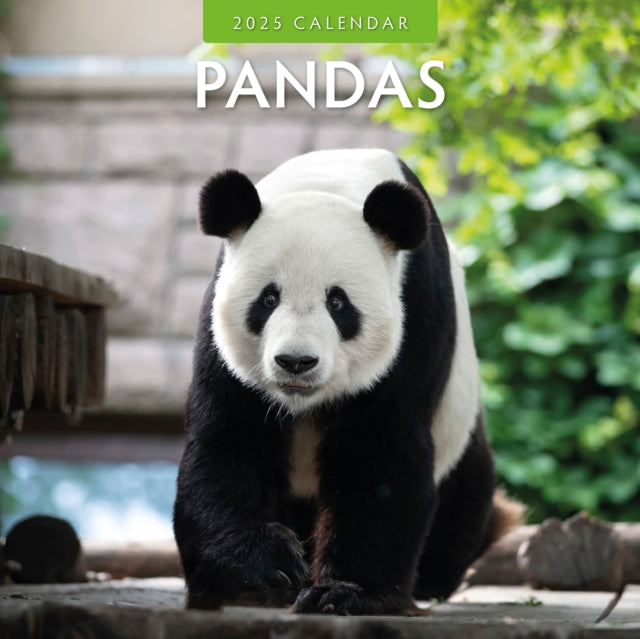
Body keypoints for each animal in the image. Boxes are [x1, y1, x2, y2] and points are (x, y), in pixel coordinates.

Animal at [173, 148, 522, 615]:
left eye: (338, 303)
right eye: (268, 298)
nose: (295, 362)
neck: (330, 179)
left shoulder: (415, 314)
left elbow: (379, 453)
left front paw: (343, 594)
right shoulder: (220, 333)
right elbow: (229, 441)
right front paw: (261, 572)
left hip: (460, 429)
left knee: (465, 499)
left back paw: (432, 577)